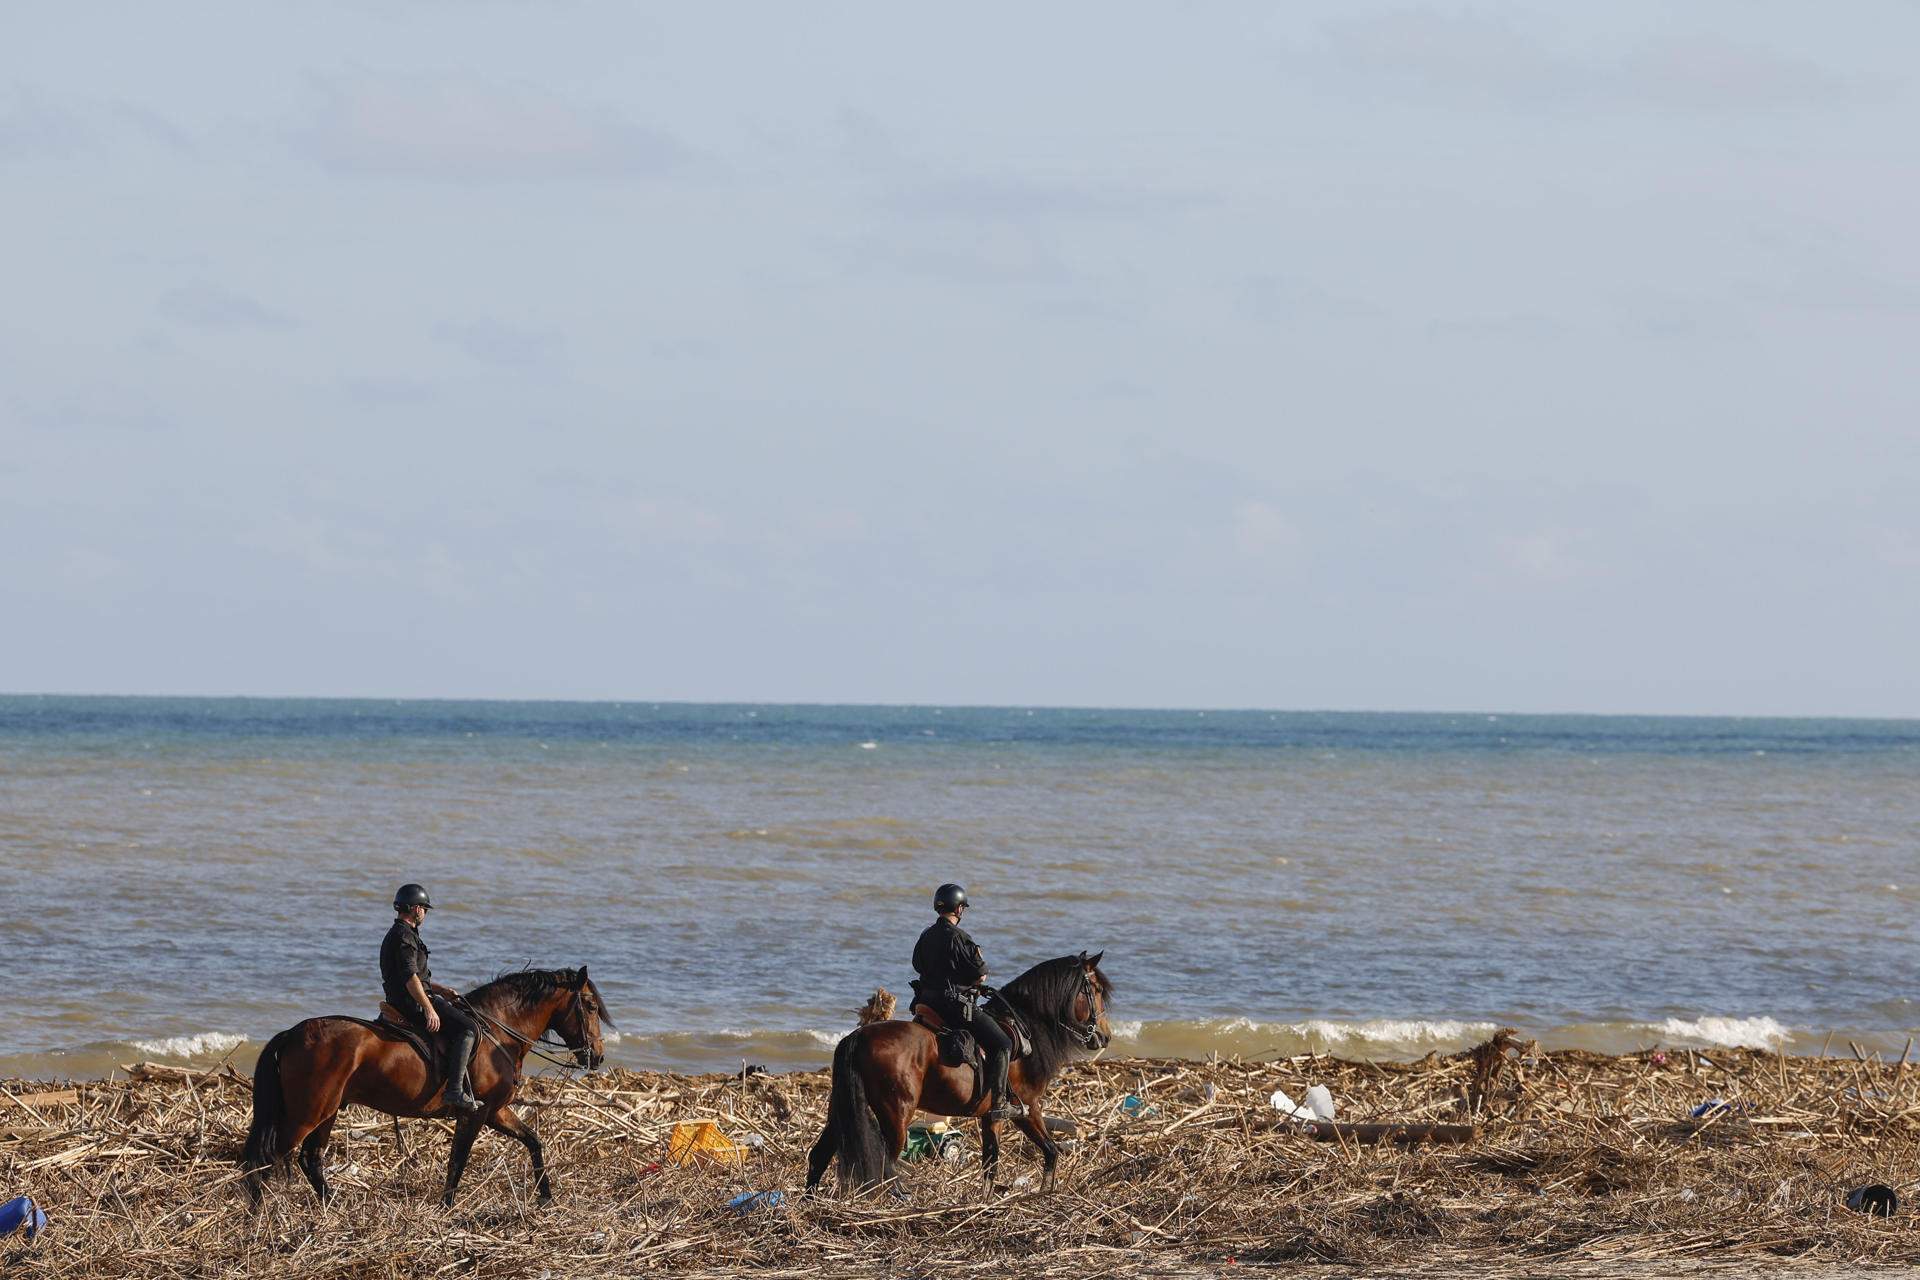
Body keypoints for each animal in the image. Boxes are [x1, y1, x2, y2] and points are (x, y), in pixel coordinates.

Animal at [240, 971, 610, 1212]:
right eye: (590, 1006)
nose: (597, 1056)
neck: (497, 1031)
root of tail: (292, 1033)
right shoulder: (477, 1113)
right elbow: (458, 1159)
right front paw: (447, 1208)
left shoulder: (495, 1111)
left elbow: (533, 1141)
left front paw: (545, 1197)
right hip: (307, 1113)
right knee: (267, 1159)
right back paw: (258, 1216)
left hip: (326, 1112)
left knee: (310, 1158)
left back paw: (333, 1207)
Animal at [806, 948, 1113, 1197]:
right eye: (1096, 989)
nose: (1105, 1036)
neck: (1026, 1026)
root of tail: (858, 1037)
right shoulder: (1026, 1108)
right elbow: (1042, 1152)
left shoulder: (992, 1117)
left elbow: (1002, 1160)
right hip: (896, 1115)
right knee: (885, 1164)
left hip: (844, 1109)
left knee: (819, 1155)